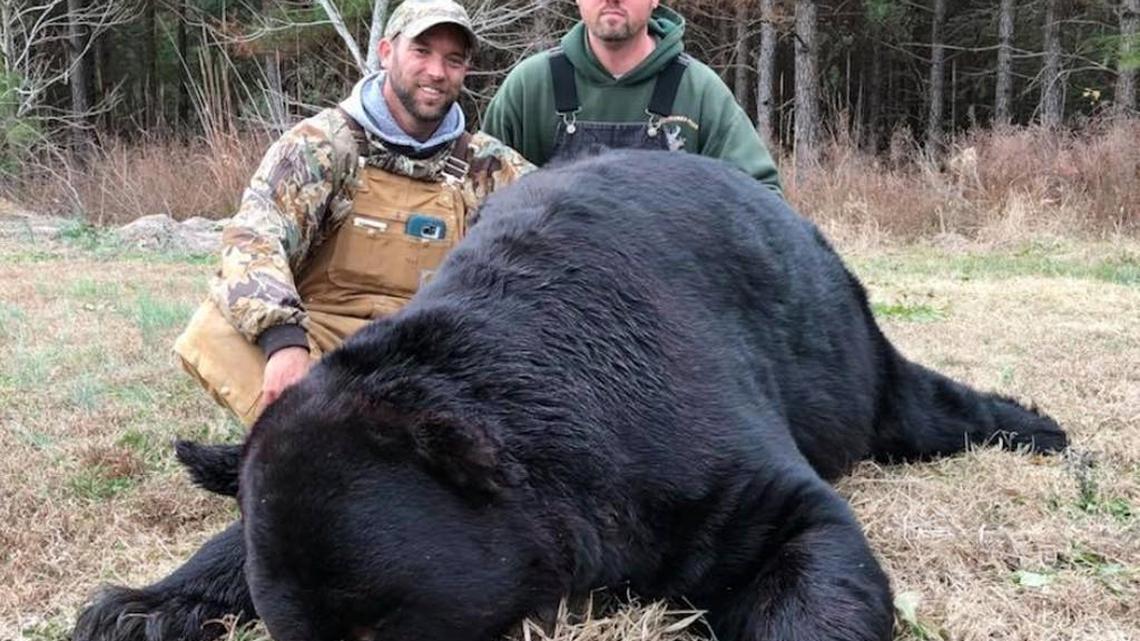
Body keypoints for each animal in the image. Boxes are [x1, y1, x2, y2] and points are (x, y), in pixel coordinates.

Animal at [73, 149, 1067, 641]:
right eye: (295, 633)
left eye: (378, 628)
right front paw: (136, 605)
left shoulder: (691, 449)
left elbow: (805, 540)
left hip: (844, 349)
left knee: (915, 402)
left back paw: (1040, 427)